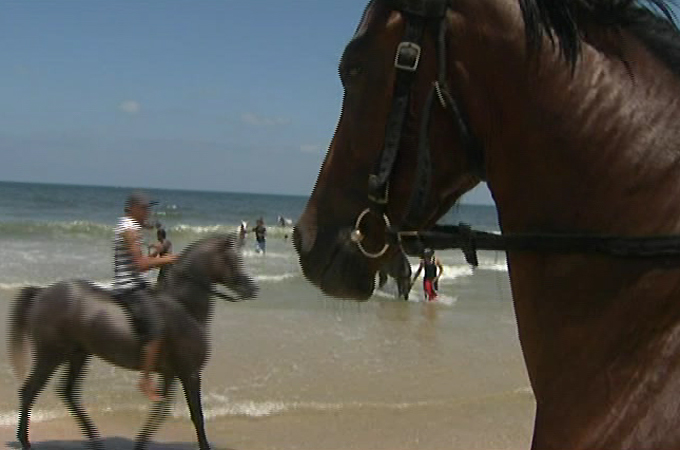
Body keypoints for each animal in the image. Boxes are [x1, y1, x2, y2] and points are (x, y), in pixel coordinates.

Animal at [9, 233, 258, 450]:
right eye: (234, 259)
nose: (252, 288)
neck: (183, 306)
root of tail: (43, 293)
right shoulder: (190, 373)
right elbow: (196, 415)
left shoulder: (171, 374)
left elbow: (161, 410)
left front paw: (140, 443)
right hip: (51, 355)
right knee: (29, 391)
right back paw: (25, 441)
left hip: (78, 354)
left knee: (68, 393)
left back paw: (95, 439)